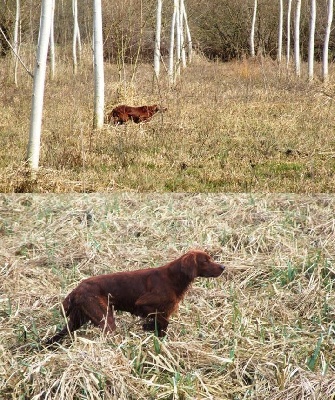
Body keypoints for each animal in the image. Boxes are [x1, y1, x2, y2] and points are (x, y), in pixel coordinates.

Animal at [46, 250, 226, 344]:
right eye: (205, 261)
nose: (223, 267)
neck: (173, 278)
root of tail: (77, 289)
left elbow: (162, 325)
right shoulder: (144, 304)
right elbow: (163, 322)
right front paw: (148, 328)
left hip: (77, 319)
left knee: (59, 335)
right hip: (105, 318)